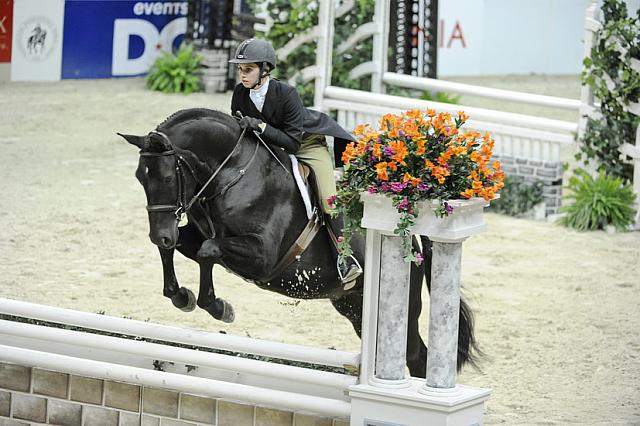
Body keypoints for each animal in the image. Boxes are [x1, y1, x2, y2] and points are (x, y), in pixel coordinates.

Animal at [120, 109, 478, 376]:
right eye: (139, 177)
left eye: (168, 178)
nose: (160, 232)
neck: (231, 174)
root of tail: (413, 241)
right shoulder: (198, 237)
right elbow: (179, 249)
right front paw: (182, 296)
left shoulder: (263, 255)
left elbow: (209, 252)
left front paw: (219, 307)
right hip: (354, 307)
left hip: (399, 305)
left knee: (416, 356)